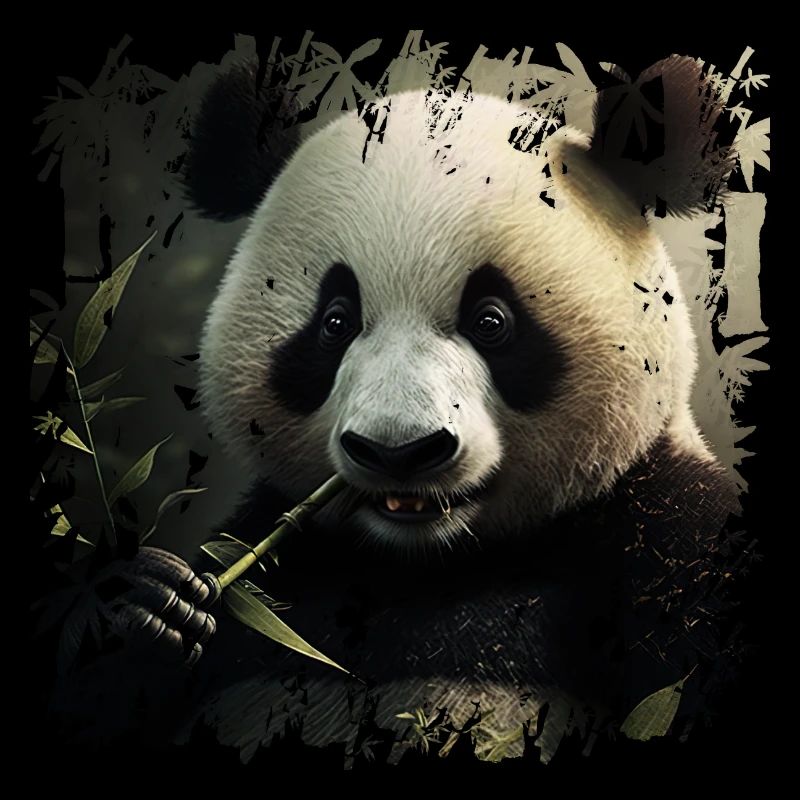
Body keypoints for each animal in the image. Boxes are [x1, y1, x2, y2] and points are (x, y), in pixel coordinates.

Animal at [74, 56, 742, 763]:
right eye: (335, 322)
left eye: (492, 321)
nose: (399, 450)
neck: (431, 565)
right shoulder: (283, 560)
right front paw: (151, 608)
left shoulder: (665, 542)